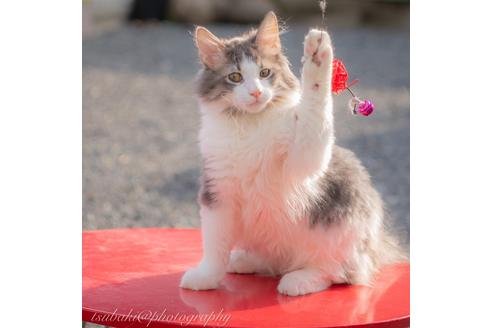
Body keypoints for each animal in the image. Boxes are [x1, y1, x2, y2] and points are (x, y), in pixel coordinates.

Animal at [179, 11, 402, 296]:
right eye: (235, 77)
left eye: (264, 73)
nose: (256, 92)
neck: (251, 125)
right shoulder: (217, 192)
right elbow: (214, 246)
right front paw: (206, 277)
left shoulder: (304, 160)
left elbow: (315, 104)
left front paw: (318, 55)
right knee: (274, 260)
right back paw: (245, 260)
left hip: (343, 229)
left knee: (336, 272)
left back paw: (299, 280)